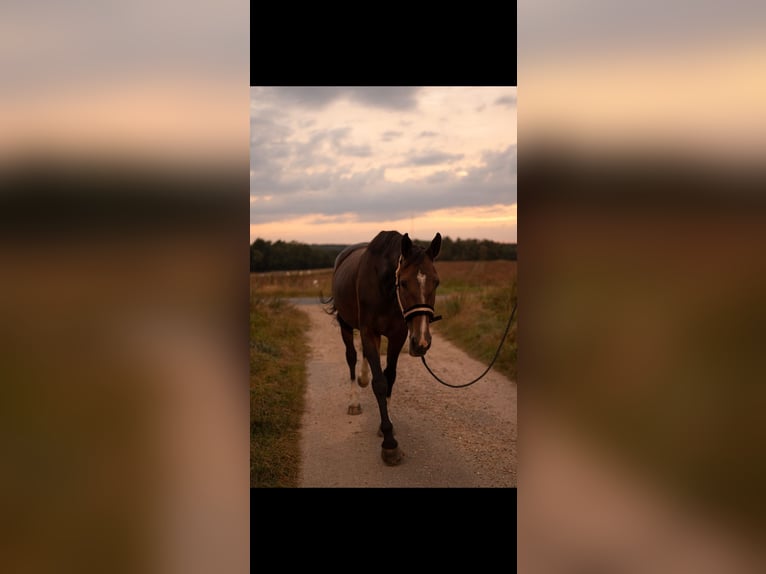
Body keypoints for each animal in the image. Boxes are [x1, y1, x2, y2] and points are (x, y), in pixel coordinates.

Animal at [326, 231, 444, 468]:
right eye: (404, 283)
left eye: (436, 282)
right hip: (345, 324)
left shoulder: (397, 336)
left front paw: (385, 425)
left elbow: (390, 376)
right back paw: (354, 401)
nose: (422, 342)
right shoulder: (369, 332)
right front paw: (390, 444)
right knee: (351, 357)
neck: (384, 288)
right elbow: (380, 383)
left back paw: (363, 378)